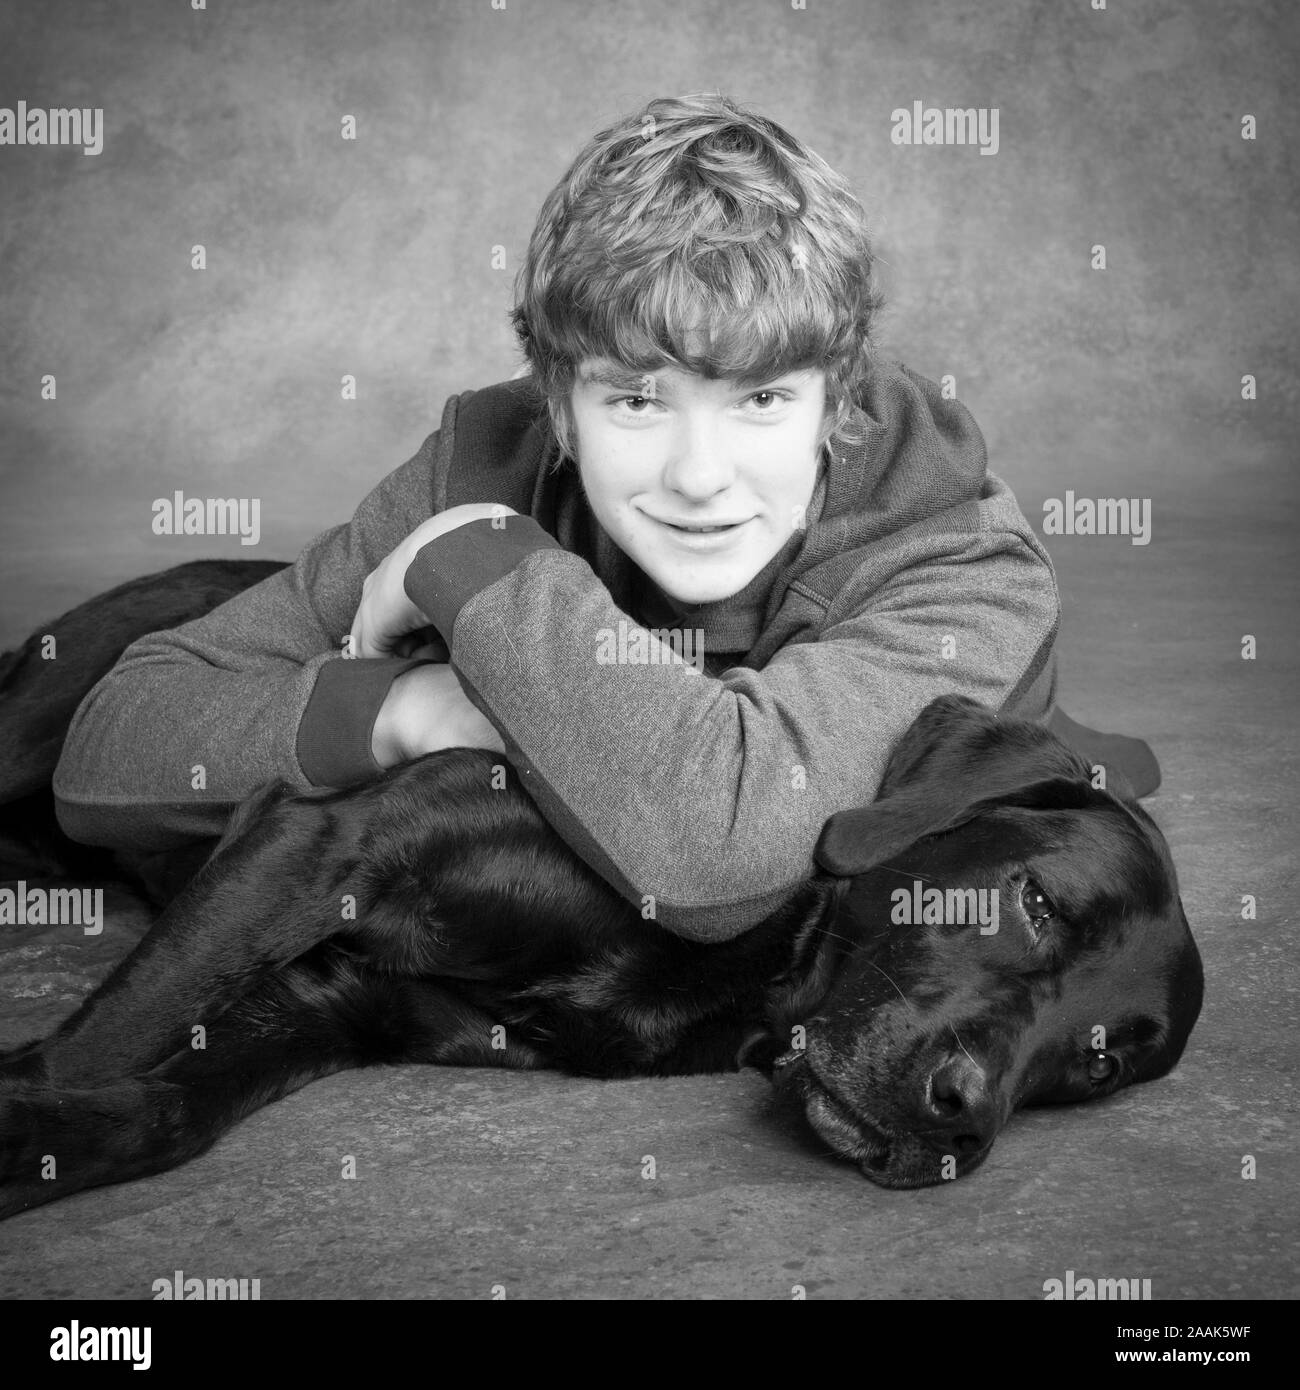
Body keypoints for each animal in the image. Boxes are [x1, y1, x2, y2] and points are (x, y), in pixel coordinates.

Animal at [0, 556, 1206, 1217]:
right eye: (1037, 902)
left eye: (1098, 1067)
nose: (961, 1118)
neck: (752, 962)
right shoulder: (323, 841)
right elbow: (103, 1046)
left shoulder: (334, 1005)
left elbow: (168, 1109)